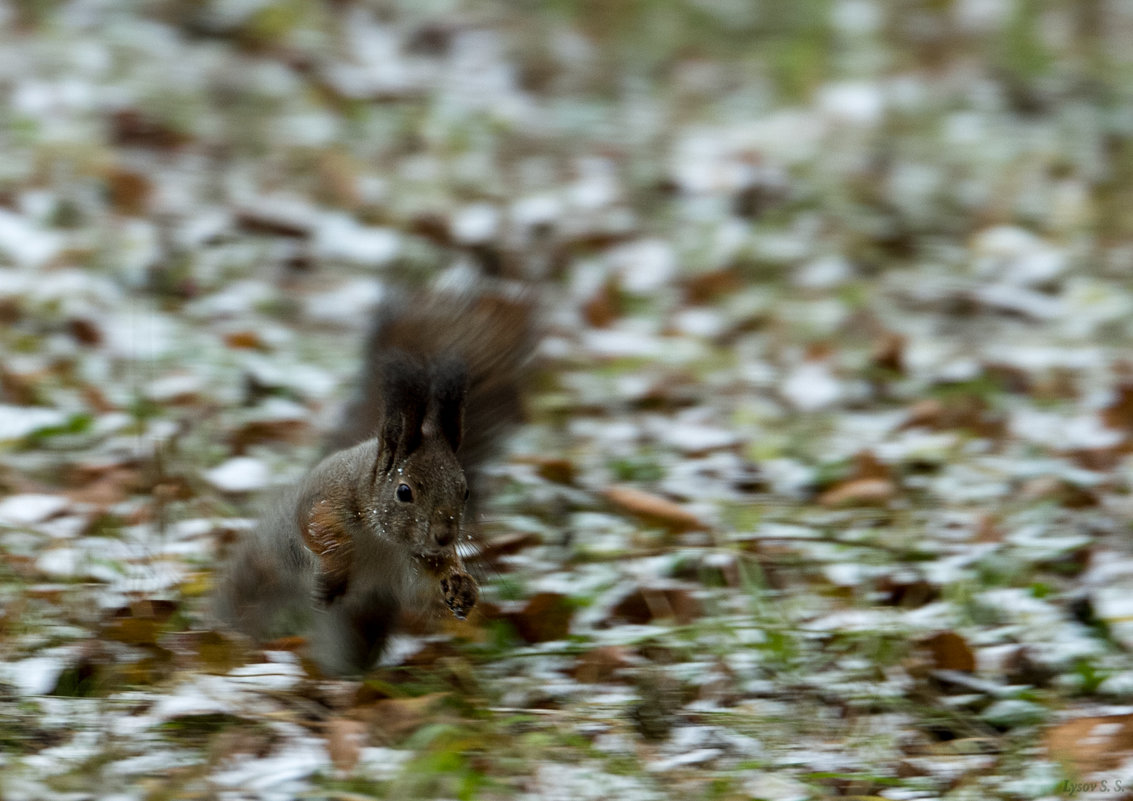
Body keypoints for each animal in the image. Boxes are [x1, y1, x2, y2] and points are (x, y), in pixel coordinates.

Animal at [220, 285, 539, 675]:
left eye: (465, 492)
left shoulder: (413, 561)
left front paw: (462, 586)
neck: (383, 539)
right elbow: (321, 531)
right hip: (264, 571)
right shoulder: (327, 499)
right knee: (243, 608)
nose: (445, 536)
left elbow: (424, 585)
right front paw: (336, 572)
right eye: (404, 491)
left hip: (360, 621)